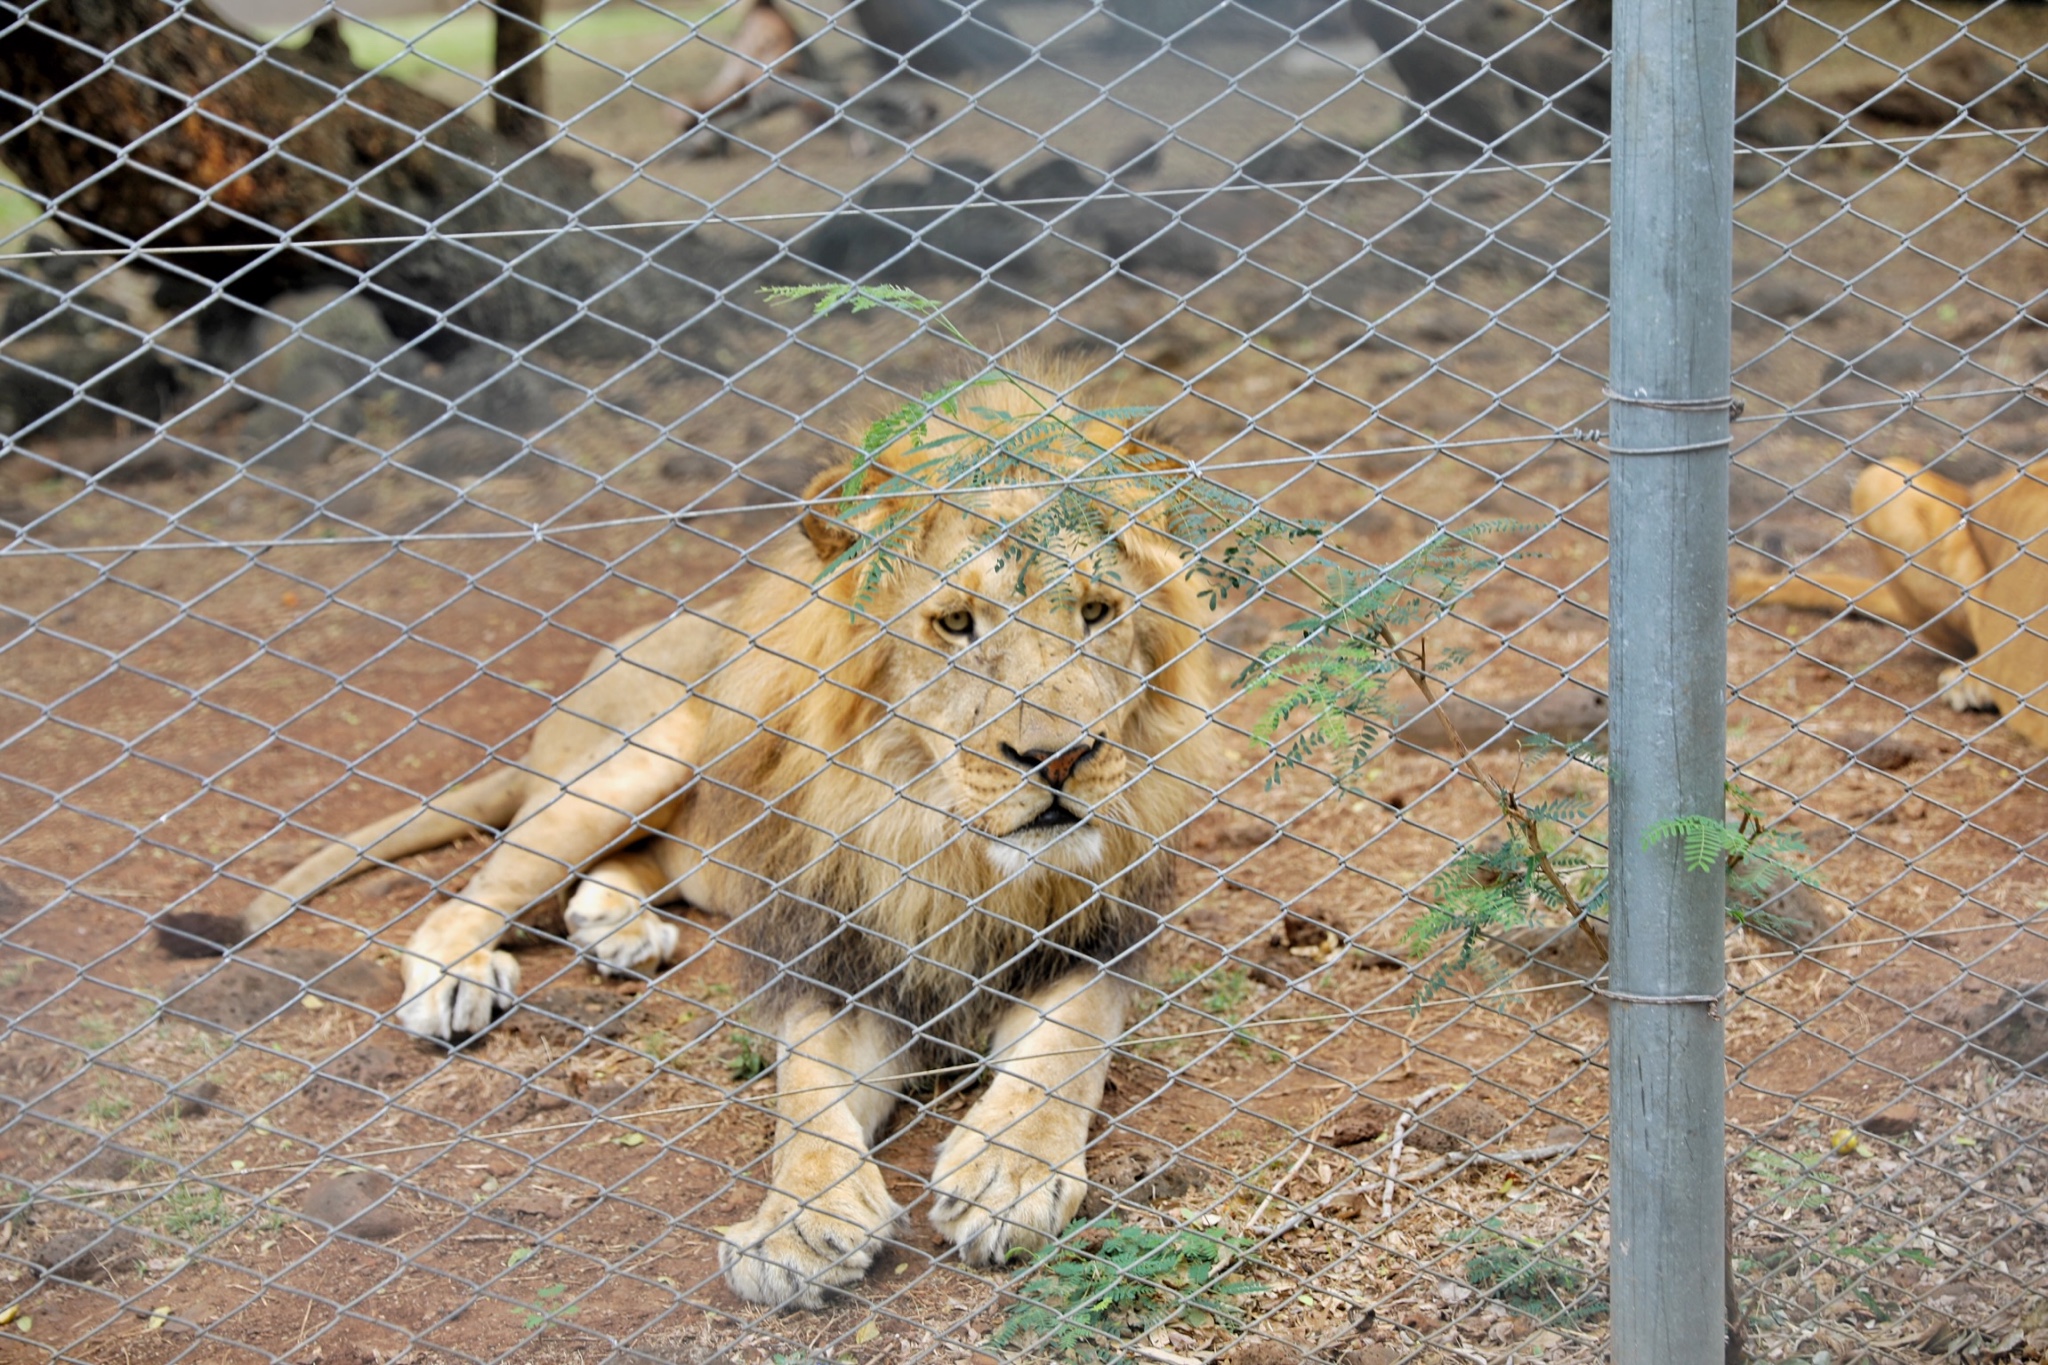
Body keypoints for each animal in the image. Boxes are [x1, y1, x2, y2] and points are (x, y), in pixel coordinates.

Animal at [163, 368, 1212, 1309]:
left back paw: (615, 930)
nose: (1061, 759)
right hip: (643, 756)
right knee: (476, 893)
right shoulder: (834, 963)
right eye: (957, 623)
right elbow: (804, 1101)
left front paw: (1007, 1172)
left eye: (1099, 613)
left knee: (629, 867)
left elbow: (1063, 1057)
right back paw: (460, 978)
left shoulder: (1096, 945)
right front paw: (796, 1223)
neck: (944, 845)